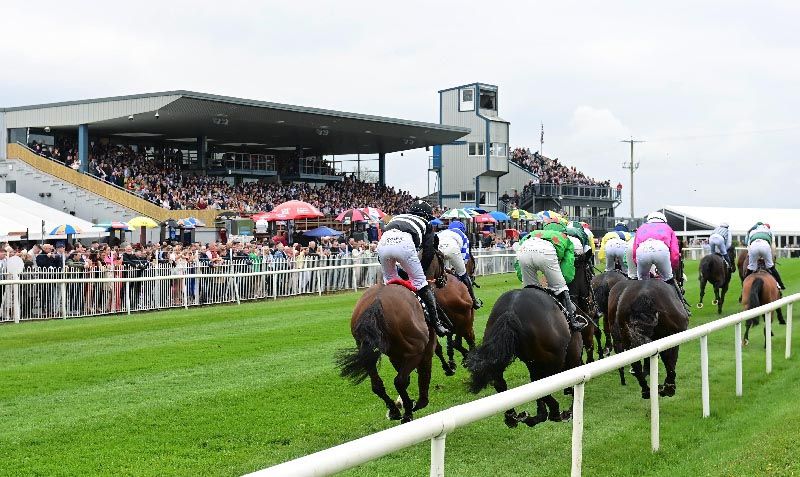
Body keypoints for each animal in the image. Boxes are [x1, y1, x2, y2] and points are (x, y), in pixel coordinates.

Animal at [336, 249, 446, 420]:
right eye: (441, 257)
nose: (445, 278)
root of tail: (376, 302)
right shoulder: (426, 348)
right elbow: (424, 373)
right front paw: (418, 402)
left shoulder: (395, 354)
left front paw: (400, 403)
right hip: (415, 351)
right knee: (399, 381)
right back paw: (407, 411)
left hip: (367, 349)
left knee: (377, 385)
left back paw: (394, 409)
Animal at [462, 286, 580, 428]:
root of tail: (511, 309)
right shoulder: (572, 354)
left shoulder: (532, 362)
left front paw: (539, 415)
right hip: (556, 359)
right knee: (545, 385)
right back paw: (555, 412)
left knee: (500, 383)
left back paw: (513, 417)